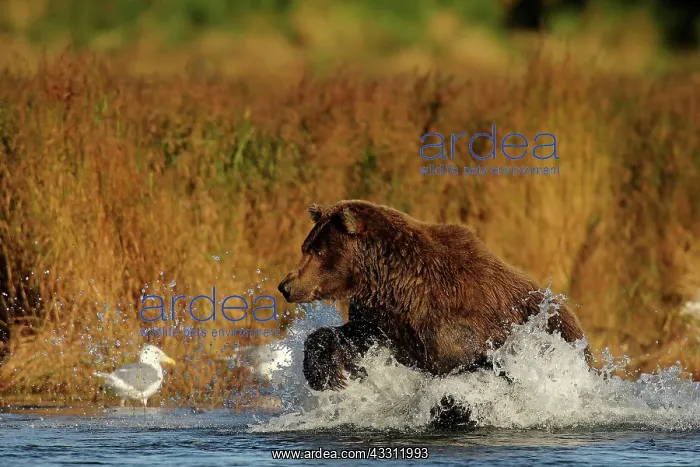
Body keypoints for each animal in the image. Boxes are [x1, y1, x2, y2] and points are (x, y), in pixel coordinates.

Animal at [278, 200, 590, 424]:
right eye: (306, 246)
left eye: (318, 252)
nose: (286, 286)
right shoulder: (386, 320)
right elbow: (353, 339)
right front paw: (326, 373)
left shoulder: (455, 322)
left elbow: (474, 369)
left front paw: (452, 409)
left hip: (554, 335)